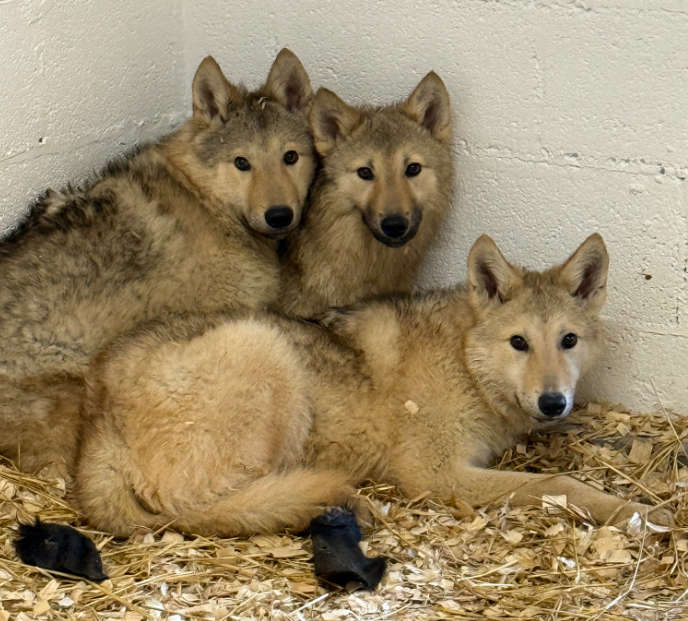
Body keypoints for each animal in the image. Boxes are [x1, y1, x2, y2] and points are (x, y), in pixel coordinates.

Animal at [75, 233, 672, 537]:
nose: (553, 402)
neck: (465, 362)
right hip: (266, 351)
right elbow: (559, 484)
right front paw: (640, 512)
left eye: (568, 340)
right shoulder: (437, 476)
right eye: (519, 343)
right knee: (196, 510)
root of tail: (97, 405)